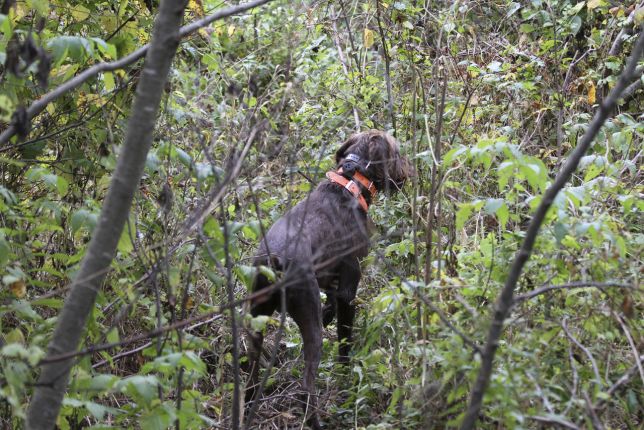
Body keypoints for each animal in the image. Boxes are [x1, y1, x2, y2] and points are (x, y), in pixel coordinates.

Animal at [244, 129, 410, 428]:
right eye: (397, 152)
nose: (409, 171)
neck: (351, 183)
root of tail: (273, 262)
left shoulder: (331, 281)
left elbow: (331, 305)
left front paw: (328, 314)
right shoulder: (349, 285)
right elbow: (345, 342)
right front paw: (347, 380)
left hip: (256, 319)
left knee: (251, 374)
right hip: (309, 320)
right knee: (305, 387)